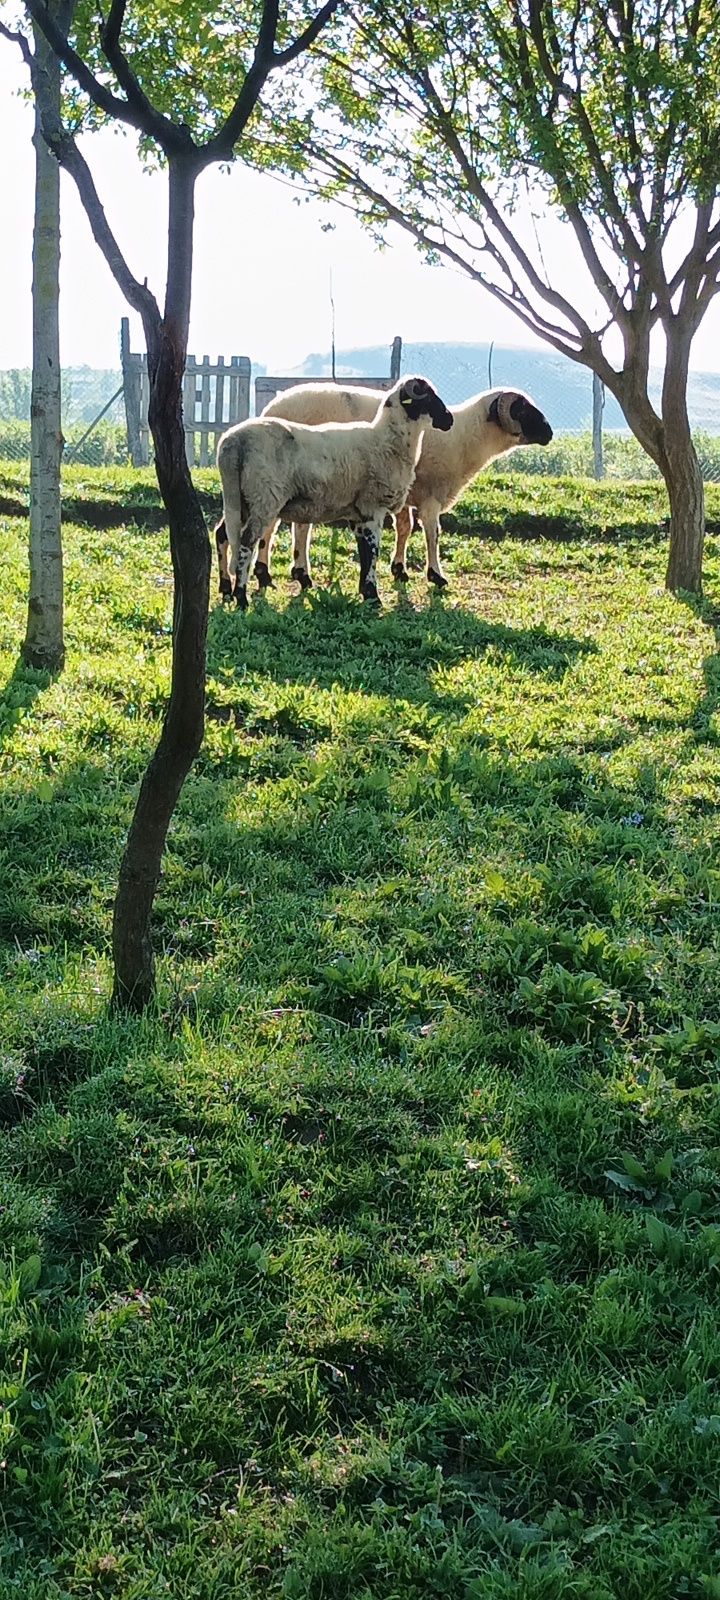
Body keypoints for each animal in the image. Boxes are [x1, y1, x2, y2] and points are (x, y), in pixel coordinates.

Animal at [214, 374, 454, 611]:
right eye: (428, 397)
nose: (449, 419)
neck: (388, 440)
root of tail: (233, 443)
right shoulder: (372, 507)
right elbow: (373, 551)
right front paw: (374, 597)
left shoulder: (358, 514)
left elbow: (364, 552)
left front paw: (366, 593)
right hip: (263, 498)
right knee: (246, 543)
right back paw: (241, 597)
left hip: (239, 499)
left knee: (223, 534)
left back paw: (226, 588)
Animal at [249, 384, 553, 592]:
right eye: (521, 409)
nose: (550, 433)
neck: (466, 437)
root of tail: (269, 409)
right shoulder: (430, 495)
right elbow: (433, 532)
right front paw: (436, 575)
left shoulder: (405, 494)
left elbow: (405, 528)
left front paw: (399, 569)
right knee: (277, 526)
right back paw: (267, 573)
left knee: (295, 526)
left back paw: (297, 573)